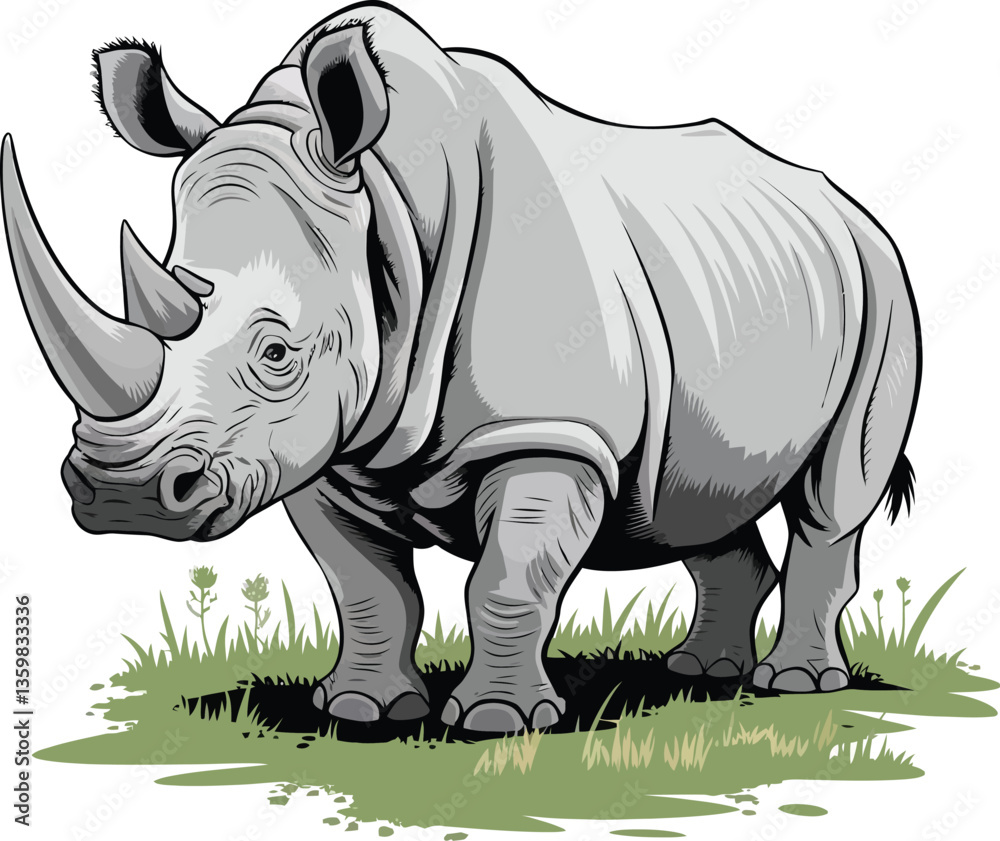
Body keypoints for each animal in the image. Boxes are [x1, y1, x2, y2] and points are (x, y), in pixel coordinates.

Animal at [2, 2, 920, 733]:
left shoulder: (548, 432)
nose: (122, 495)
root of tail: (851, 207)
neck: (388, 207)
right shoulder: (324, 449)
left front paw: (496, 723)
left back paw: (793, 683)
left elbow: (508, 578)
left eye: (277, 353)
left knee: (831, 501)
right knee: (695, 498)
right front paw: (362, 710)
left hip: (882, 281)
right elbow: (366, 587)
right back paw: (703, 673)